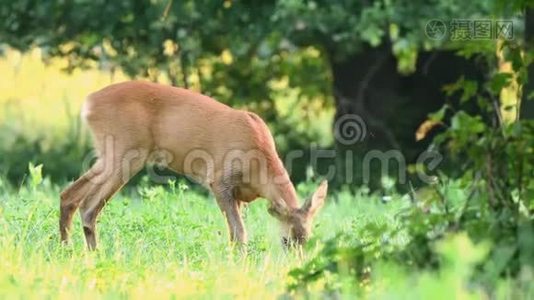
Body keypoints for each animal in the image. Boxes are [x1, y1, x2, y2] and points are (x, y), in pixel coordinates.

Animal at [58, 81, 328, 250]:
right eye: (286, 240)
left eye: (307, 240)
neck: (260, 163)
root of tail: (89, 103)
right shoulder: (219, 180)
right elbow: (239, 232)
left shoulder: (239, 195)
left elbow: (235, 231)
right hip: (125, 150)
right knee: (88, 206)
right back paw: (92, 253)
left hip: (112, 154)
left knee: (69, 194)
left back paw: (69, 248)